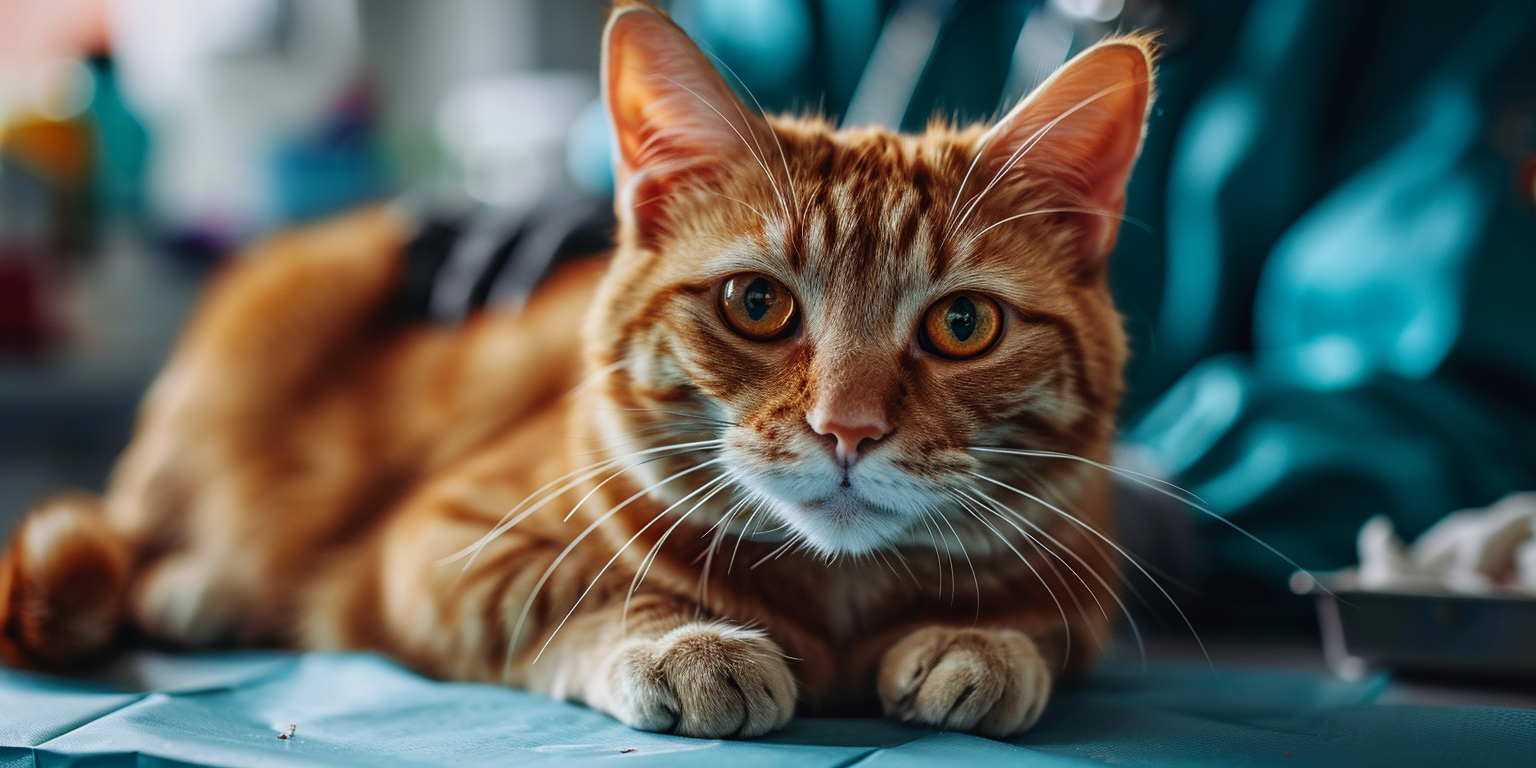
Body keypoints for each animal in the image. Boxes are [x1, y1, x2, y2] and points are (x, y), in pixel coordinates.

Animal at [0, 3, 1155, 740]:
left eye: (963, 323)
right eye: (758, 305)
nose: (848, 429)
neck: (837, 595)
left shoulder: (1082, 576)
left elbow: (1044, 622)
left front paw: (981, 643)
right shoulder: (439, 545)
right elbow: (571, 593)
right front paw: (686, 643)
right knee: (136, 533)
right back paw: (199, 586)